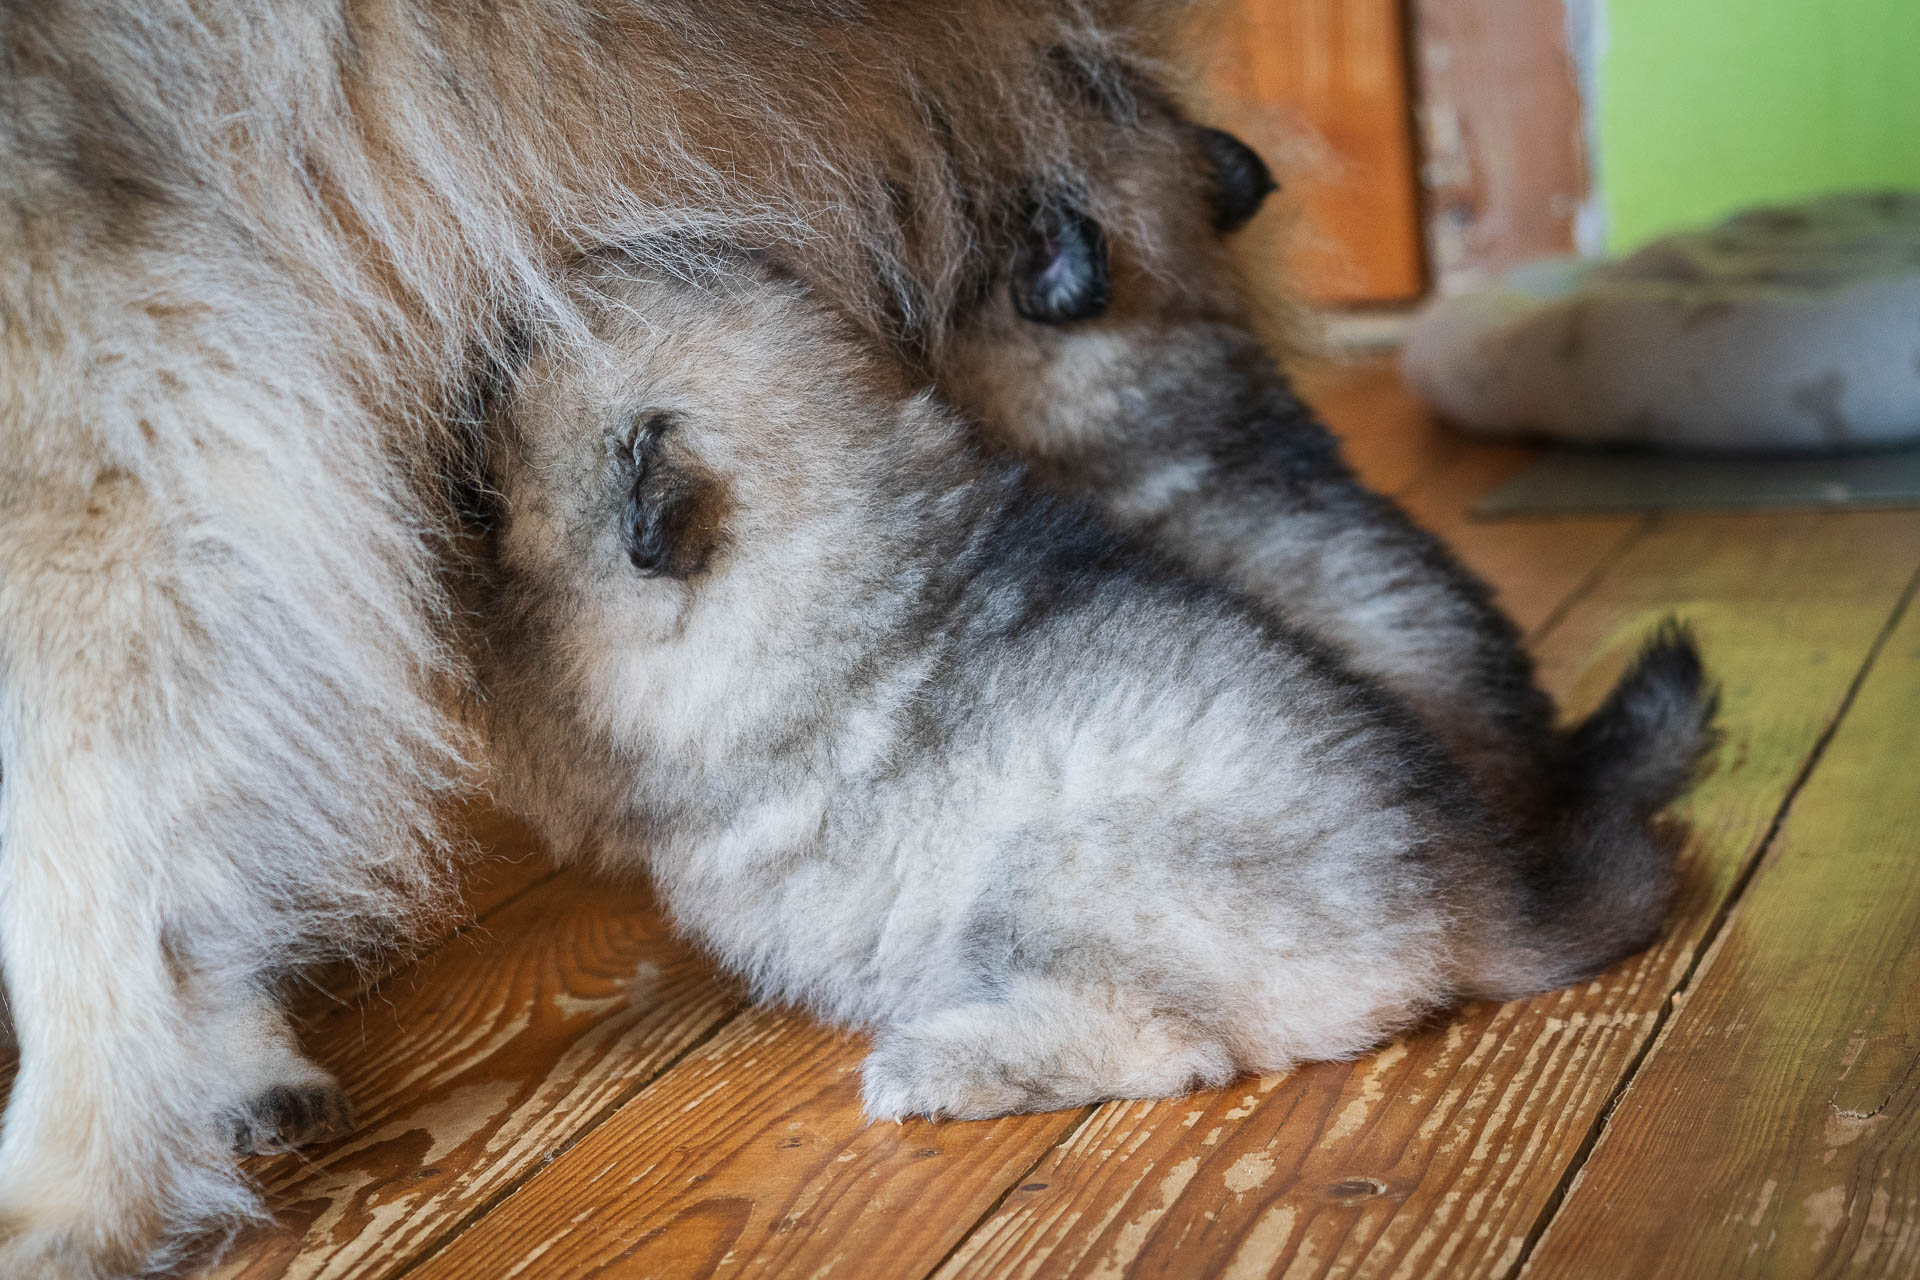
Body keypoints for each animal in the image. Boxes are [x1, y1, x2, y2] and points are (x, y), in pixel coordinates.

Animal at [472, 255, 1689, 1113]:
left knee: (1174, 1049)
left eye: (511, 393)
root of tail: (1470, 884)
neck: (850, 517)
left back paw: (939, 1064)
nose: (485, 334)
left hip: (1054, 867)